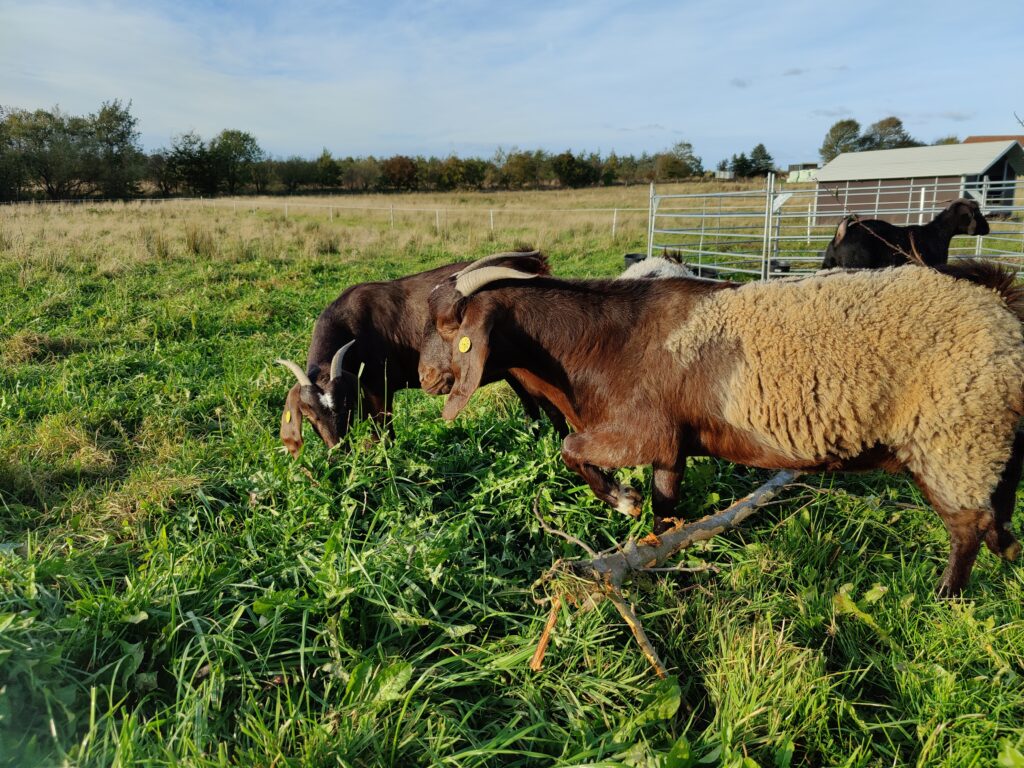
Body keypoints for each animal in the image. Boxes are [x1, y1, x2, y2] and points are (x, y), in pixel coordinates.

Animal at [276, 252, 565, 456]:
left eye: (345, 405)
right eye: (309, 415)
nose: (338, 452)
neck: (350, 327)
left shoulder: (380, 388)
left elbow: (384, 431)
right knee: (531, 407)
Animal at [423, 262, 1024, 598]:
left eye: (451, 328)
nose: (427, 379)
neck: (603, 343)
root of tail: (1000, 309)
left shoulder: (642, 431)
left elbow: (573, 450)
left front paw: (622, 498)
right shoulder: (671, 447)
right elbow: (666, 508)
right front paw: (661, 556)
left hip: (954, 440)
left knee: (966, 528)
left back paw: (944, 597)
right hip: (988, 443)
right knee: (996, 516)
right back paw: (1009, 556)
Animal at [823, 198, 991, 270]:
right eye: (976, 213)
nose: (987, 228)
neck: (936, 234)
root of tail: (841, 235)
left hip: (829, 264)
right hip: (856, 264)